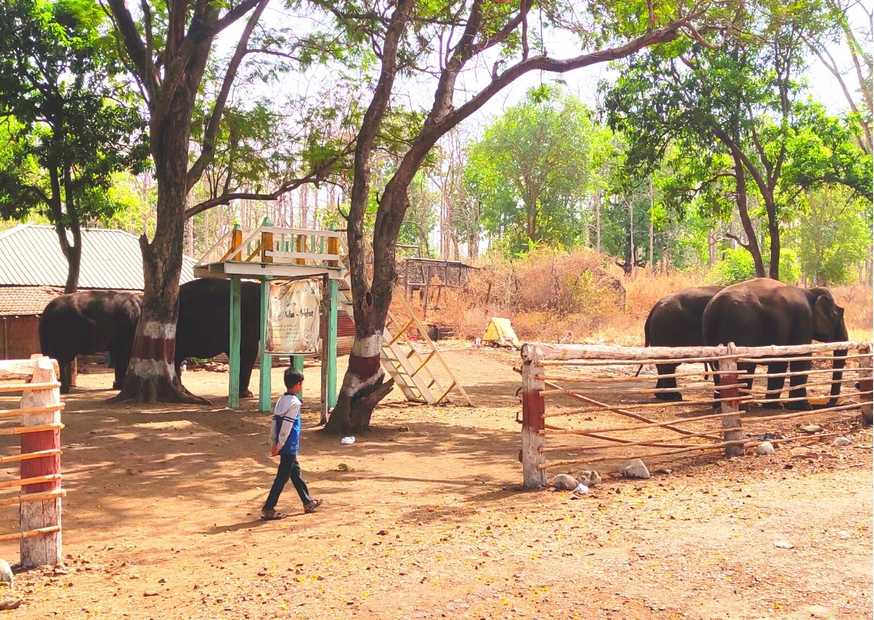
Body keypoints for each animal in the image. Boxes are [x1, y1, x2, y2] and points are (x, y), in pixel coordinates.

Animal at [700, 278, 844, 410]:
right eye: (836, 315)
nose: (828, 404)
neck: (809, 291)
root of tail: (715, 307)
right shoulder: (803, 319)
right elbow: (801, 359)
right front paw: (803, 407)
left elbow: (779, 362)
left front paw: (775, 405)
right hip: (740, 326)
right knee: (744, 364)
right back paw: (742, 407)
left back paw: (721, 407)